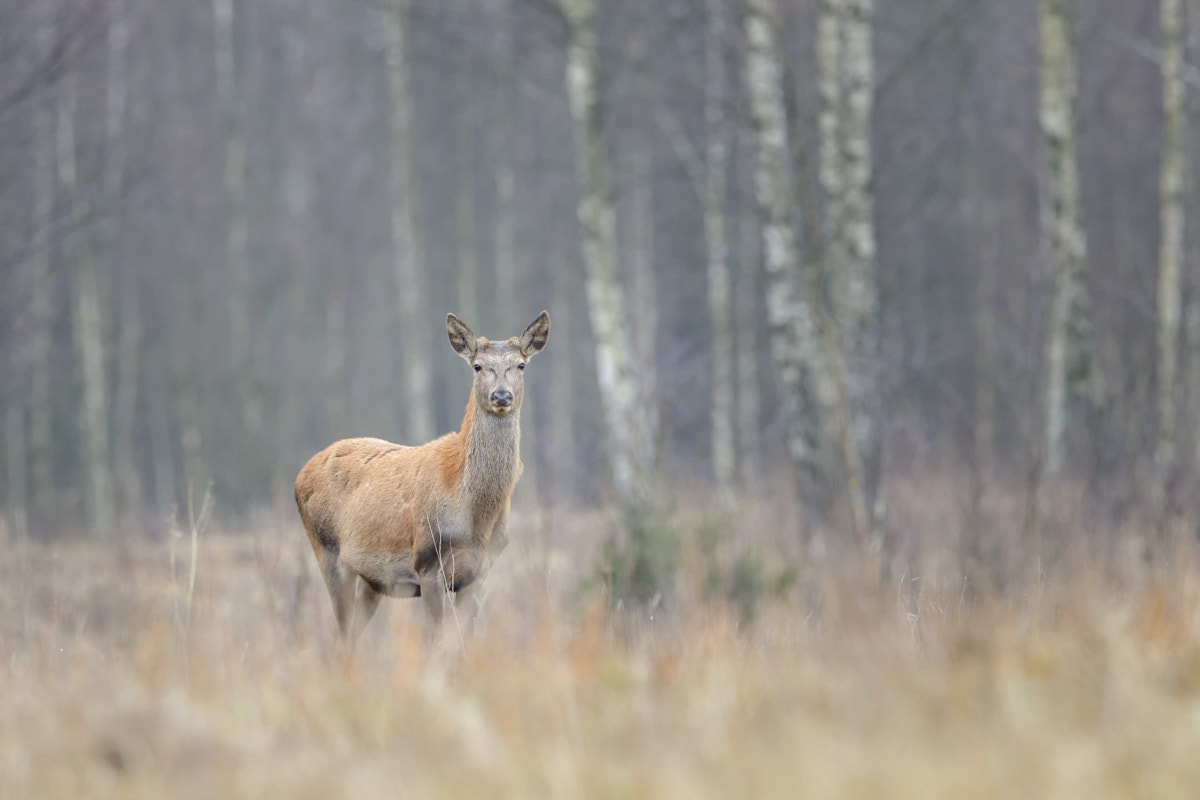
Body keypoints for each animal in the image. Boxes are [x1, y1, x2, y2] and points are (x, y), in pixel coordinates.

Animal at [295, 309, 549, 642]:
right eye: (478, 366)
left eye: (521, 365)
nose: (501, 395)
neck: (474, 518)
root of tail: (300, 475)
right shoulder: (427, 563)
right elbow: (435, 642)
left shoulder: (480, 573)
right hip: (327, 552)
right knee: (340, 635)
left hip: (374, 580)